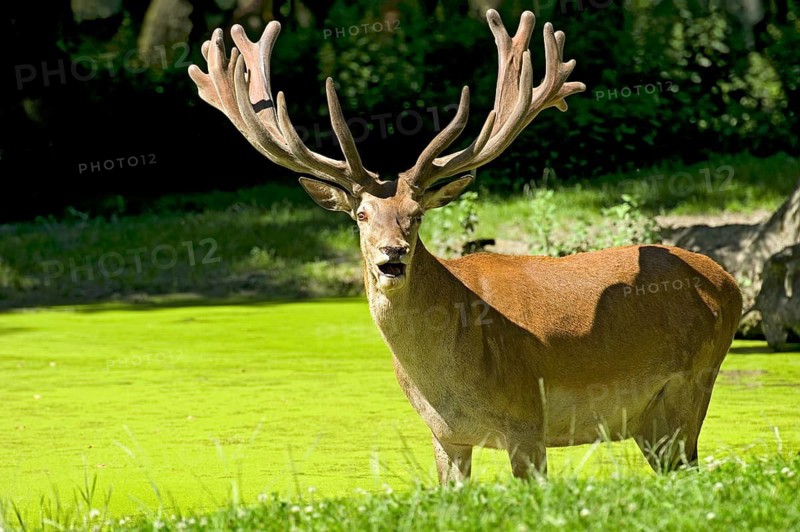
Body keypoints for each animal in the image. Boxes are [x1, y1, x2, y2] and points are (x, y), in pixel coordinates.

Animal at [189, 9, 743, 483]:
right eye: (362, 216)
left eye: (415, 216)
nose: (392, 255)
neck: (450, 379)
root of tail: (728, 281)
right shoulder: (446, 437)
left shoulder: (528, 418)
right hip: (652, 422)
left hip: (690, 388)